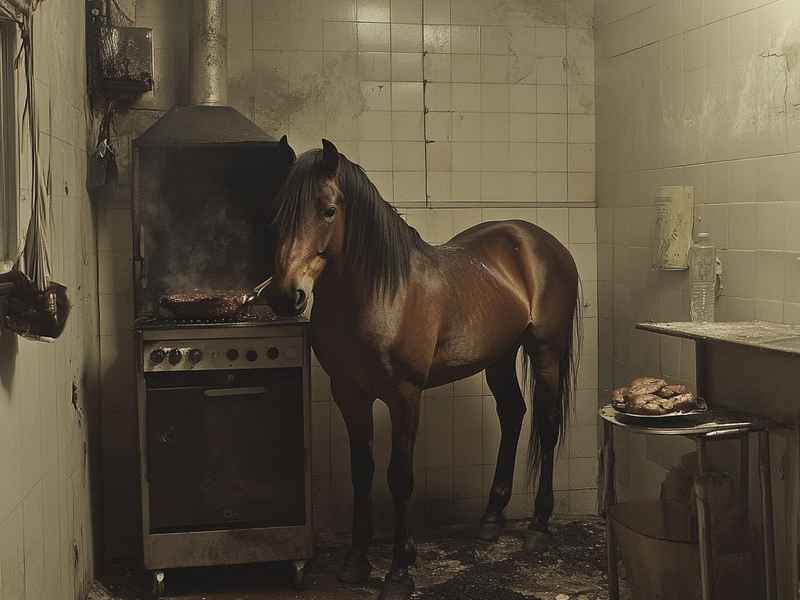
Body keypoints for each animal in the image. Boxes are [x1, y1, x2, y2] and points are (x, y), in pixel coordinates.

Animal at [268, 138, 581, 600]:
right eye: (278, 212)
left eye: (327, 210)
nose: (286, 296)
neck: (380, 293)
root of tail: (541, 241)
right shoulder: (349, 394)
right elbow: (361, 472)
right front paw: (356, 562)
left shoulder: (404, 394)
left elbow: (400, 477)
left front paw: (400, 570)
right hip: (499, 357)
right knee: (513, 414)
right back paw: (491, 518)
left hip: (546, 352)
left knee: (546, 422)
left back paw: (539, 525)